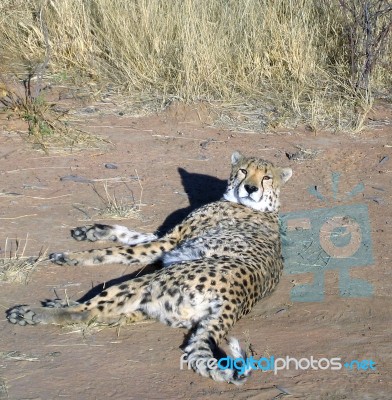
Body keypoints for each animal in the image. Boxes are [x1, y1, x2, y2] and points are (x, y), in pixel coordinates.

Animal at [6, 151, 290, 384]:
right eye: (243, 171)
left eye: (266, 177)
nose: (251, 188)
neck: (258, 207)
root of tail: (238, 301)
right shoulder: (164, 239)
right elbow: (126, 234)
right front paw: (92, 232)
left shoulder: (169, 242)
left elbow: (115, 251)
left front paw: (71, 256)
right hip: (158, 306)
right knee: (103, 314)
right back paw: (58, 303)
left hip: (152, 280)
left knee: (86, 313)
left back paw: (31, 313)